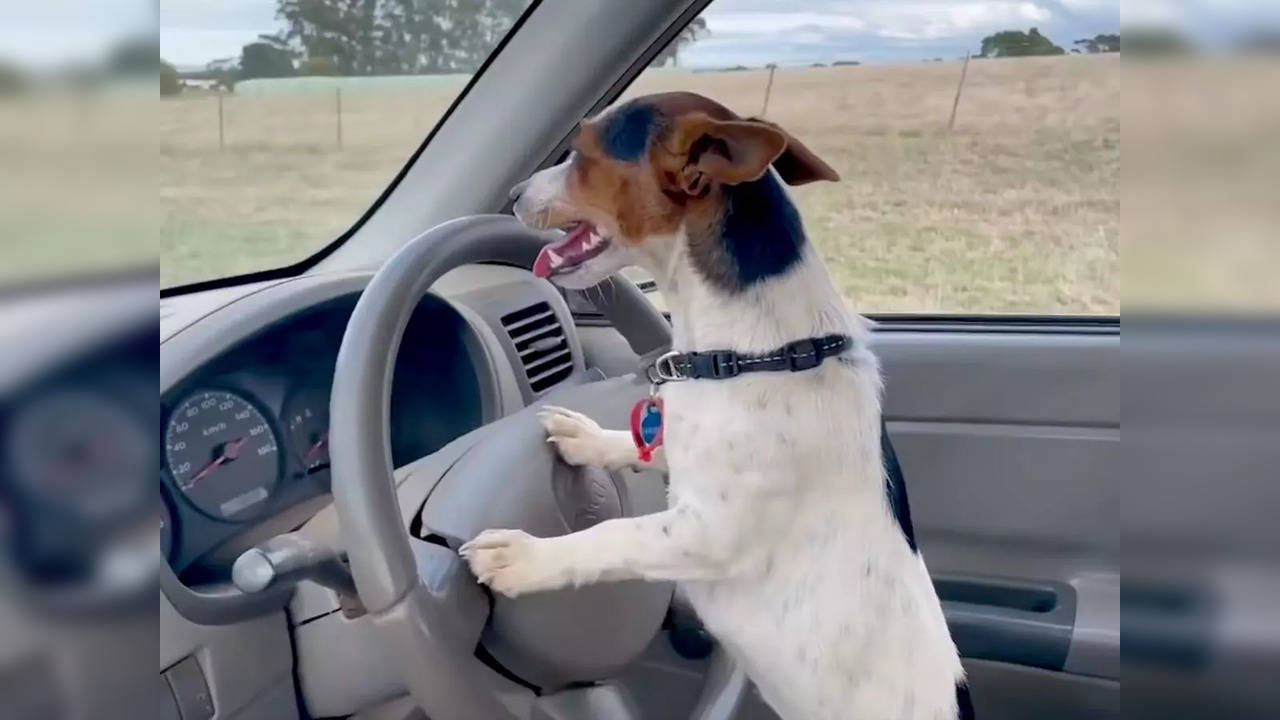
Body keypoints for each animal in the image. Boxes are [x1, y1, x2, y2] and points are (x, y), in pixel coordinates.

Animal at [460, 92, 967, 717]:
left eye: (583, 152)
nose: (512, 194)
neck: (757, 354)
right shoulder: (686, 447)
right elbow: (642, 442)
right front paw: (586, 439)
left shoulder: (704, 534)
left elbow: (612, 536)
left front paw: (525, 557)